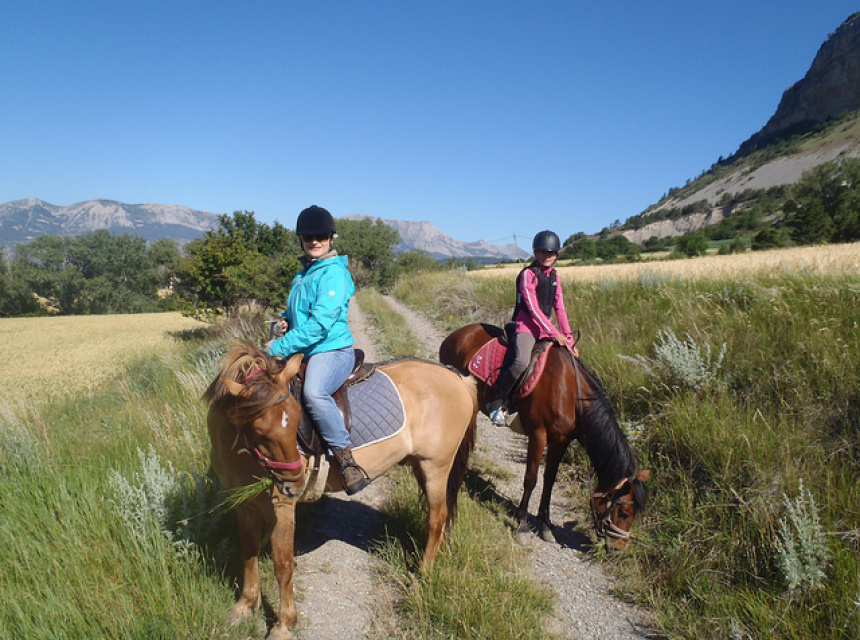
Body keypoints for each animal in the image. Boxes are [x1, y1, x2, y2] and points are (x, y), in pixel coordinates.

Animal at [204, 342, 478, 640]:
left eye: (298, 418)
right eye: (258, 430)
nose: (295, 483)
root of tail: (458, 378)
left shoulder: (280, 507)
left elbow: (283, 564)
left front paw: (284, 624)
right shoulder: (243, 504)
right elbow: (248, 551)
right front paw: (244, 605)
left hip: (436, 467)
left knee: (437, 519)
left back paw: (423, 575)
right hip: (420, 465)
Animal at [439, 323, 650, 551]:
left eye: (633, 514)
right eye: (624, 512)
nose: (618, 547)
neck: (570, 393)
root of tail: (458, 334)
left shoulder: (561, 441)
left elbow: (549, 480)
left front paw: (546, 525)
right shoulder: (538, 435)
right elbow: (531, 479)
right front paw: (522, 524)